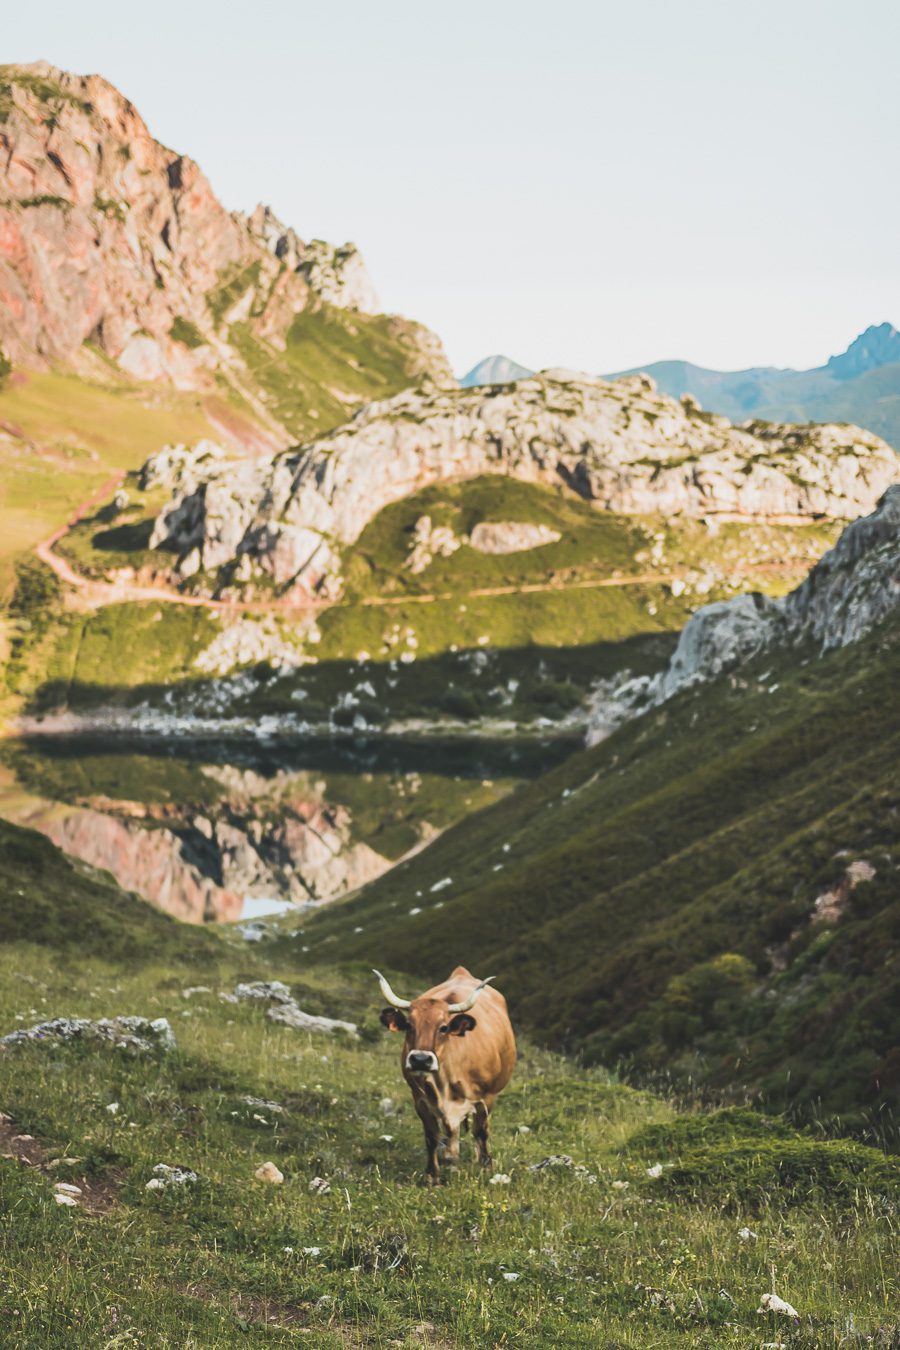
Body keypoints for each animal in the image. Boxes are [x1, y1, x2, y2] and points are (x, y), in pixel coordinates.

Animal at [372, 961, 512, 1182]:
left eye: (444, 1027)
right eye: (409, 1025)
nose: (420, 1060)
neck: (444, 1084)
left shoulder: (487, 1098)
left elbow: (481, 1132)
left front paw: (486, 1167)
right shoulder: (420, 1100)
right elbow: (432, 1136)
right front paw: (432, 1176)